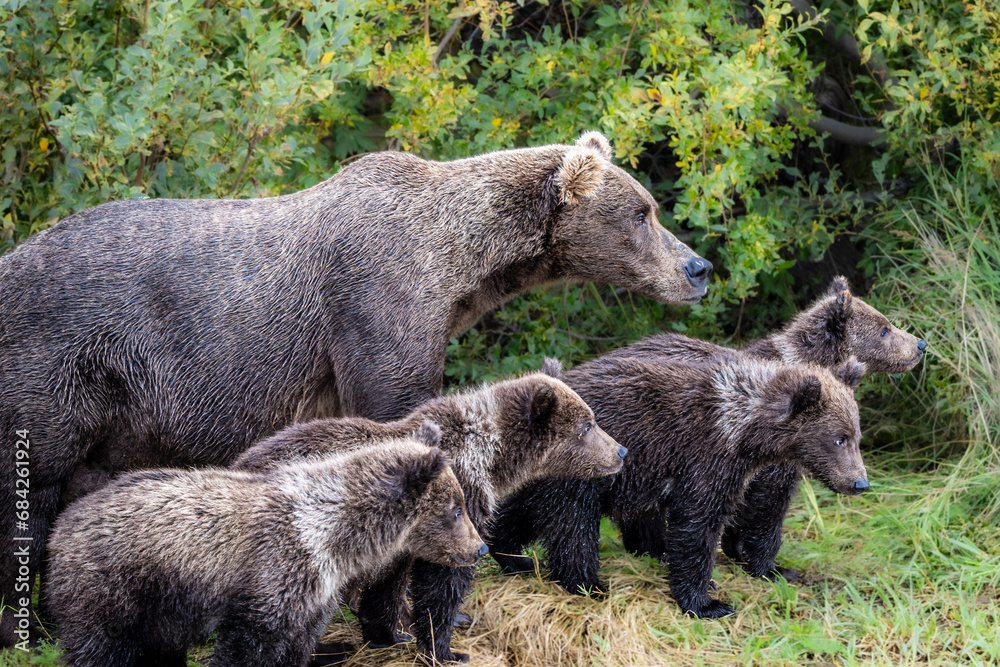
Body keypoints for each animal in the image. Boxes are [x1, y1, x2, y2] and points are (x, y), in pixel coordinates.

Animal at [44, 436, 485, 667]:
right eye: (456, 508)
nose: (479, 547)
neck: (334, 539)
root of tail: (63, 523)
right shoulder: (270, 583)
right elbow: (244, 649)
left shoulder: (312, 601)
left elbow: (296, 649)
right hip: (111, 591)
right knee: (99, 649)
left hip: (158, 612)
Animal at [232, 360, 625, 663]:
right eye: (587, 425)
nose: (620, 451)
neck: (490, 456)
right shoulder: (454, 504)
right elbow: (442, 580)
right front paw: (446, 647)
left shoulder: (402, 541)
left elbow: (390, 584)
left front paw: (389, 633)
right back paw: (326, 651)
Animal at [489, 276, 925, 588]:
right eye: (885, 328)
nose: (920, 343)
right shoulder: (762, 463)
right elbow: (765, 509)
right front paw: (770, 565)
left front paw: (738, 553)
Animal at [490, 353, 868, 618]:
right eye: (839, 438)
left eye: (856, 436)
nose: (860, 482)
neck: (742, 430)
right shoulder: (704, 459)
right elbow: (698, 525)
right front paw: (708, 602)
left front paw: (776, 569)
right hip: (585, 468)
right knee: (573, 525)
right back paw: (588, 584)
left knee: (525, 509)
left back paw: (509, 555)